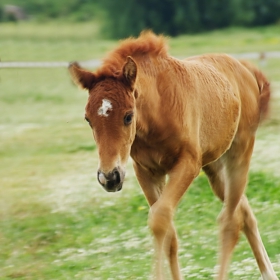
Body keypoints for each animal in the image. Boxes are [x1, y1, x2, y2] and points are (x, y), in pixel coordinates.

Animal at [69, 31, 278, 278]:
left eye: (128, 116)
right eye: (88, 119)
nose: (109, 177)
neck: (158, 109)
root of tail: (245, 68)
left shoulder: (188, 164)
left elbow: (159, 219)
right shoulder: (146, 172)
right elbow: (169, 232)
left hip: (239, 153)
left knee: (230, 221)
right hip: (214, 167)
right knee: (244, 213)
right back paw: (269, 273)